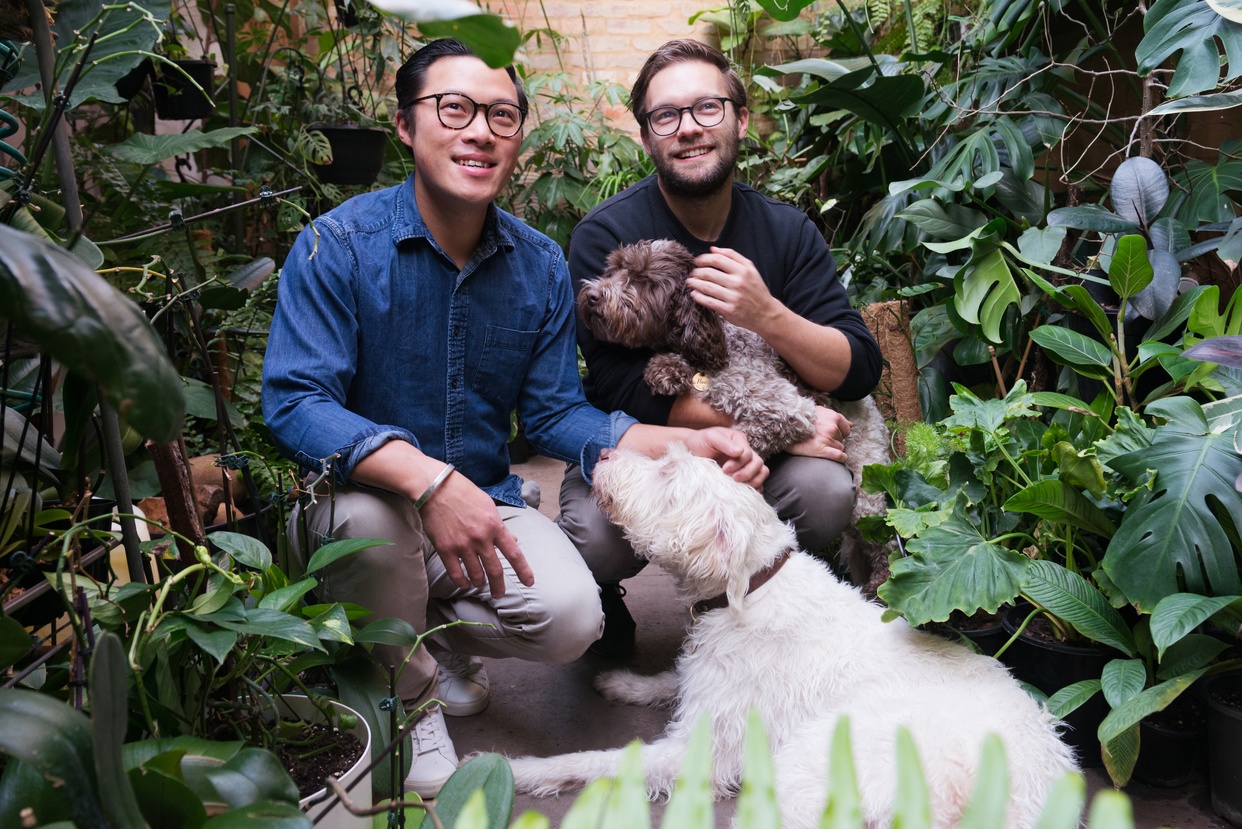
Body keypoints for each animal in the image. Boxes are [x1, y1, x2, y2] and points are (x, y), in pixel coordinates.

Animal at [509, 447, 1073, 829]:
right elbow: (669, 679)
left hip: (813, 762)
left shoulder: (702, 750)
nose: (602, 452)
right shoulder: (708, 686)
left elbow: (598, 759)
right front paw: (624, 683)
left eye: (668, 471)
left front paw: (519, 770)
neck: (754, 586)